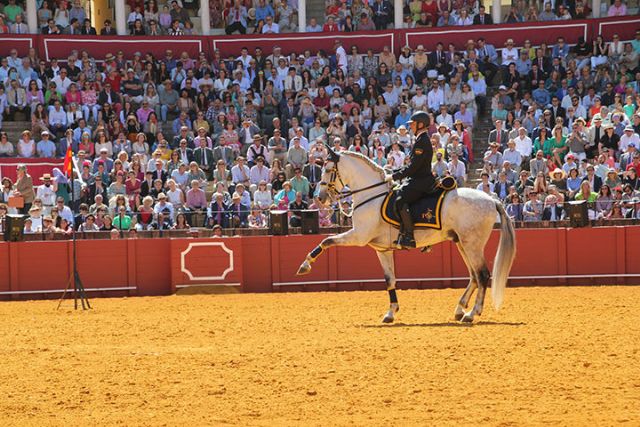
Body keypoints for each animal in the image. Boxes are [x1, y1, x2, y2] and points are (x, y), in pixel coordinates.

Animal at [296, 148, 516, 323]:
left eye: (328, 170)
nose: (320, 198)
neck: (371, 196)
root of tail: (491, 199)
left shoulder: (358, 237)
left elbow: (327, 240)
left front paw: (305, 265)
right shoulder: (382, 249)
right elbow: (390, 279)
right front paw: (390, 313)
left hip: (472, 244)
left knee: (482, 275)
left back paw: (472, 313)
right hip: (462, 243)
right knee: (473, 276)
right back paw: (460, 309)